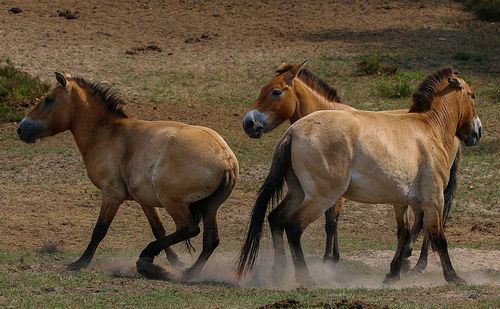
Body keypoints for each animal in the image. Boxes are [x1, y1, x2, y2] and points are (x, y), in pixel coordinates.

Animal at [16, 73, 239, 280]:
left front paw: (81, 262)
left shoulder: (111, 195)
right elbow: (158, 229)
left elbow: (100, 230)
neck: (106, 133)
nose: (20, 129)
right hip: (210, 207)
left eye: (49, 99)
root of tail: (225, 159)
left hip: (173, 202)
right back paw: (188, 272)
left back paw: (149, 254)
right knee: (210, 241)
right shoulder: (143, 200)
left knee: (189, 229)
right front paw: (174, 262)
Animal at [238, 66, 480, 286]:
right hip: (319, 198)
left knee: (276, 218)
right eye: (473, 95)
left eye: (275, 91)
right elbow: (438, 236)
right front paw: (453, 276)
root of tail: (293, 132)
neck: (430, 129)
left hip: (299, 193)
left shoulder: (403, 200)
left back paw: (279, 273)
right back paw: (305, 278)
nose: (477, 132)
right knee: (293, 226)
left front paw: (393, 273)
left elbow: (404, 232)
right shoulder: (434, 197)